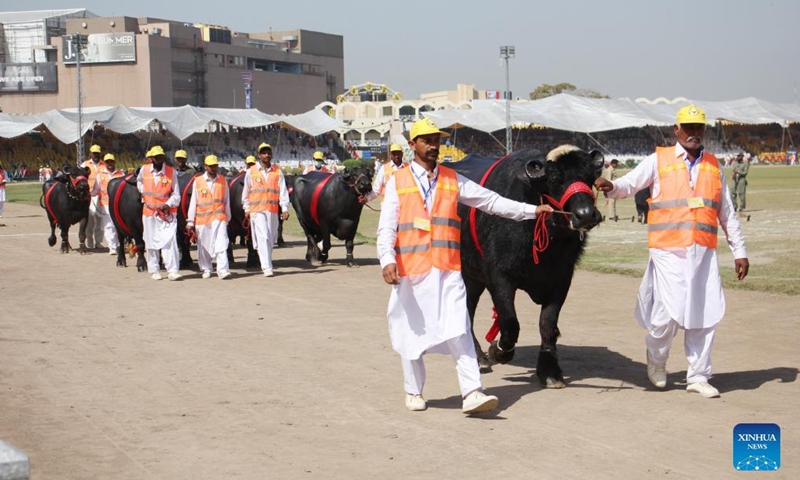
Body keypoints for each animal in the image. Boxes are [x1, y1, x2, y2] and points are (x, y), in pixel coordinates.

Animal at [454, 145, 604, 386]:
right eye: (555, 179)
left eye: (589, 177)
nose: (586, 215)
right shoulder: (499, 276)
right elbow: (510, 322)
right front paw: (499, 351)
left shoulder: (562, 278)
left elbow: (548, 324)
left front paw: (550, 371)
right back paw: (480, 358)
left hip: (472, 277)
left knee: (468, 307)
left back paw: (478, 356)